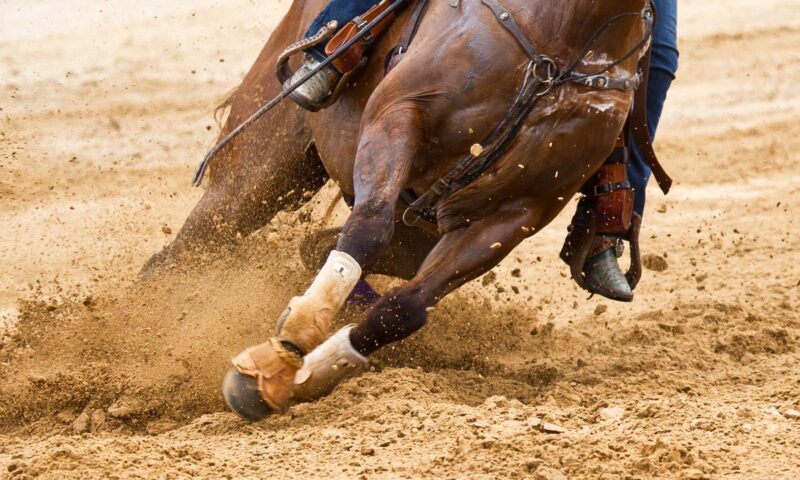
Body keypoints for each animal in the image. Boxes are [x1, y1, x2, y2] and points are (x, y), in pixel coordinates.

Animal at [143, 0, 652, 420]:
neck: (563, 36)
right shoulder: (399, 114)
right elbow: (369, 226)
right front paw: (291, 342)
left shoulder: (515, 213)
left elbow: (404, 308)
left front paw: (290, 376)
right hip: (259, 173)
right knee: (179, 255)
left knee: (315, 249)